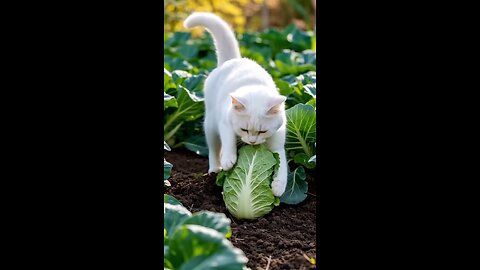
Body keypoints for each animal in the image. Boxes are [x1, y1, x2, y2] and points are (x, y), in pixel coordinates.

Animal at [186, 12, 286, 196]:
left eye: (262, 131)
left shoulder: (277, 142)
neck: (254, 86)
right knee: (214, 149)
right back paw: (215, 168)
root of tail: (233, 60)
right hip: (210, 125)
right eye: (244, 129)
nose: (252, 142)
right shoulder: (225, 122)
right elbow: (229, 140)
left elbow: (282, 164)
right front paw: (229, 160)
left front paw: (278, 187)